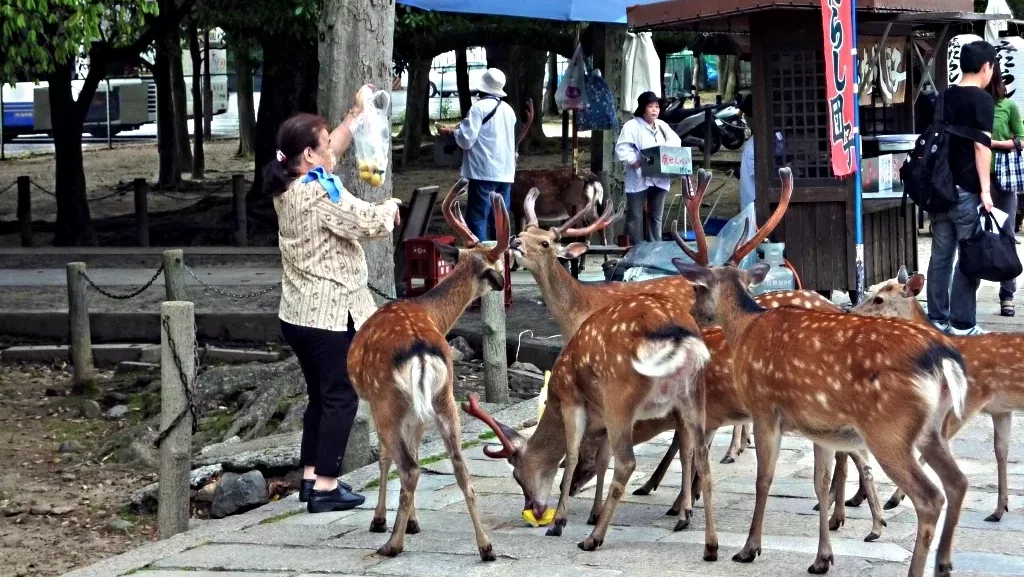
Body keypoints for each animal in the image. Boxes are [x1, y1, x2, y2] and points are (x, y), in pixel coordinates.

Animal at [347, 178, 510, 562]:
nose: (500, 280)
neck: (433, 313)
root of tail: (422, 350)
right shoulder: (420, 410)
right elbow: (419, 451)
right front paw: (413, 521)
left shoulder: (378, 404)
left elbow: (386, 459)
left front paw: (383, 521)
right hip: (444, 396)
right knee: (460, 466)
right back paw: (486, 546)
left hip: (387, 400)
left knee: (407, 466)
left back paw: (391, 544)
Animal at [461, 284, 719, 558]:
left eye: (517, 476)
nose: (534, 509)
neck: (554, 400)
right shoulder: (602, 419)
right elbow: (601, 460)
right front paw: (594, 513)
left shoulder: (571, 401)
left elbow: (572, 456)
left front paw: (558, 522)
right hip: (692, 394)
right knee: (701, 455)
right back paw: (706, 541)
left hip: (620, 395)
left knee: (627, 463)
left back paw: (593, 539)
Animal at [671, 167, 970, 577]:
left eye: (698, 289)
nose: (694, 314)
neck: (745, 330)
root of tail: (943, 359)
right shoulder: (820, 428)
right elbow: (820, 481)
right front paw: (822, 558)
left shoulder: (764, 409)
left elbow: (764, 479)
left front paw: (749, 548)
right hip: (933, 429)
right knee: (957, 483)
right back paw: (943, 564)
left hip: (889, 429)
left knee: (930, 497)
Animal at [845, 266, 1024, 523]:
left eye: (879, 299)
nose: (848, 311)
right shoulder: (1000, 409)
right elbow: (1001, 450)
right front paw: (1000, 509)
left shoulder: (967, 401)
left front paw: (894, 499)